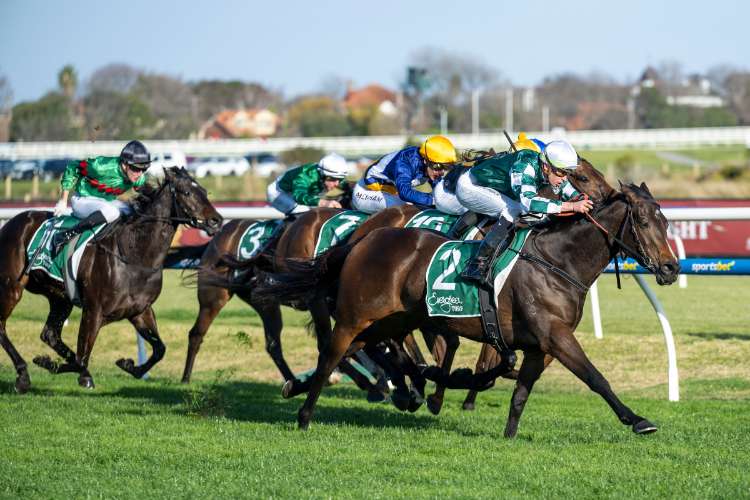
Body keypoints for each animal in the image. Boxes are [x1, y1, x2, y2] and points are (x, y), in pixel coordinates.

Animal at [0, 167, 222, 393]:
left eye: (204, 191)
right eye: (187, 192)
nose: (216, 220)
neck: (133, 254)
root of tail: (11, 223)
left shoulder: (140, 310)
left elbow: (160, 349)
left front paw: (129, 366)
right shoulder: (94, 311)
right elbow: (81, 359)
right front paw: (49, 363)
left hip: (59, 296)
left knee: (50, 334)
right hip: (12, 287)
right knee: (3, 326)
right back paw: (23, 375)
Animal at [273, 182, 679, 435]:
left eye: (666, 221)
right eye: (645, 222)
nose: (671, 268)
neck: (556, 261)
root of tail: (362, 239)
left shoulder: (540, 347)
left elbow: (520, 393)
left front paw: (509, 434)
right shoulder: (556, 336)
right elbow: (596, 378)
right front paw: (637, 419)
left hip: (390, 320)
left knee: (366, 351)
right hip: (356, 317)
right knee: (331, 353)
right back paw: (305, 415)